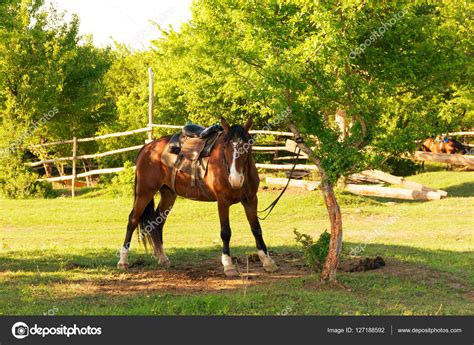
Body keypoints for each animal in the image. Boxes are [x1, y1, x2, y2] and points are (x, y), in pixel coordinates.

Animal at [116, 117, 278, 276]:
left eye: (247, 145)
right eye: (225, 148)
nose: (235, 179)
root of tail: (147, 148)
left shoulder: (251, 200)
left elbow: (256, 228)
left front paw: (267, 262)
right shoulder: (223, 202)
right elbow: (226, 232)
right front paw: (228, 265)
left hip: (168, 195)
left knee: (157, 222)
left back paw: (163, 258)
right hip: (144, 192)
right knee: (133, 220)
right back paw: (123, 261)